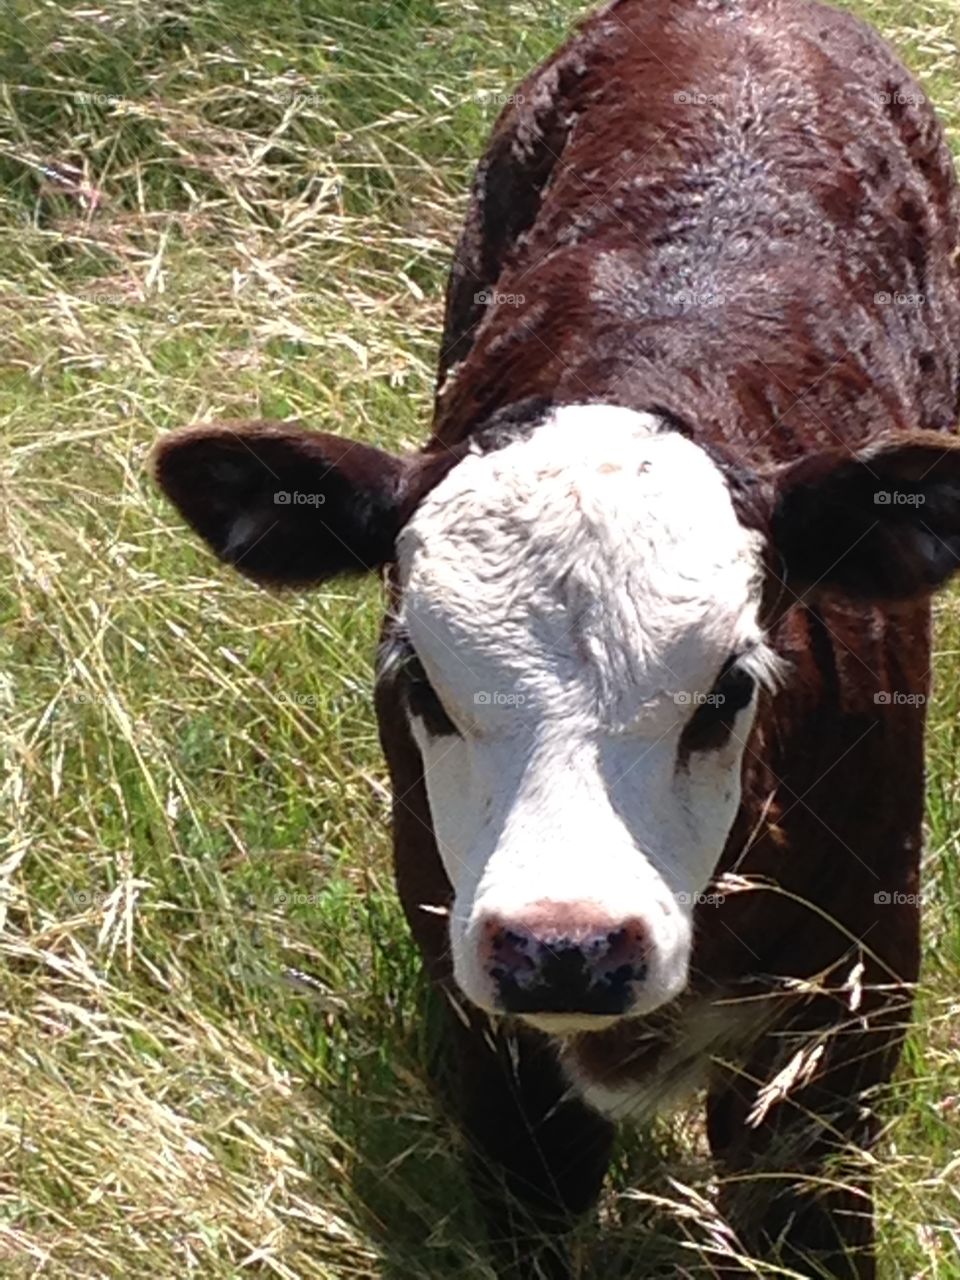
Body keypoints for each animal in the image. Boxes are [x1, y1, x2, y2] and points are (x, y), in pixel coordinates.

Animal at [152, 0, 960, 1275]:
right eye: (421, 686)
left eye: (726, 688)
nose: (567, 946)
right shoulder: (475, 999)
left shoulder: (850, 998)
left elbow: (799, 1216)